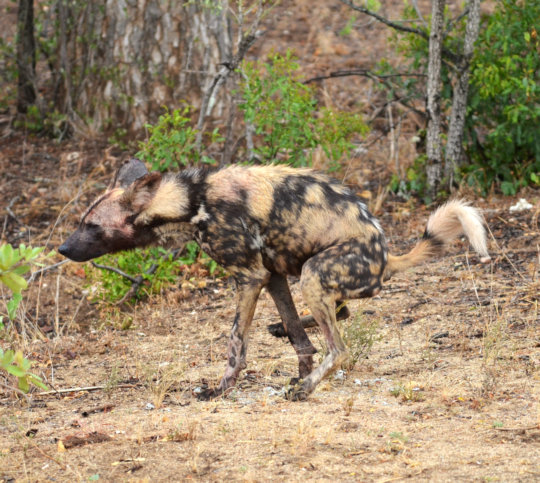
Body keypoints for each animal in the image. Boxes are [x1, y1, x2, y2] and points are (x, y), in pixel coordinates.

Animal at [59, 159, 490, 400]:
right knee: (338, 313)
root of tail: (385, 256)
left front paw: (220, 390)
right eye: (82, 221)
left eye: (92, 226)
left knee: (340, 348)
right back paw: (292, 347)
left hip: (314, 275)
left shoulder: (250, 279)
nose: (62, 249)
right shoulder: (273, 276)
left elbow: (236, 345)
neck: (192, 201)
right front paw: (296, 358)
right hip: (306, 276)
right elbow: (300, 341)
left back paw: (305, 390)